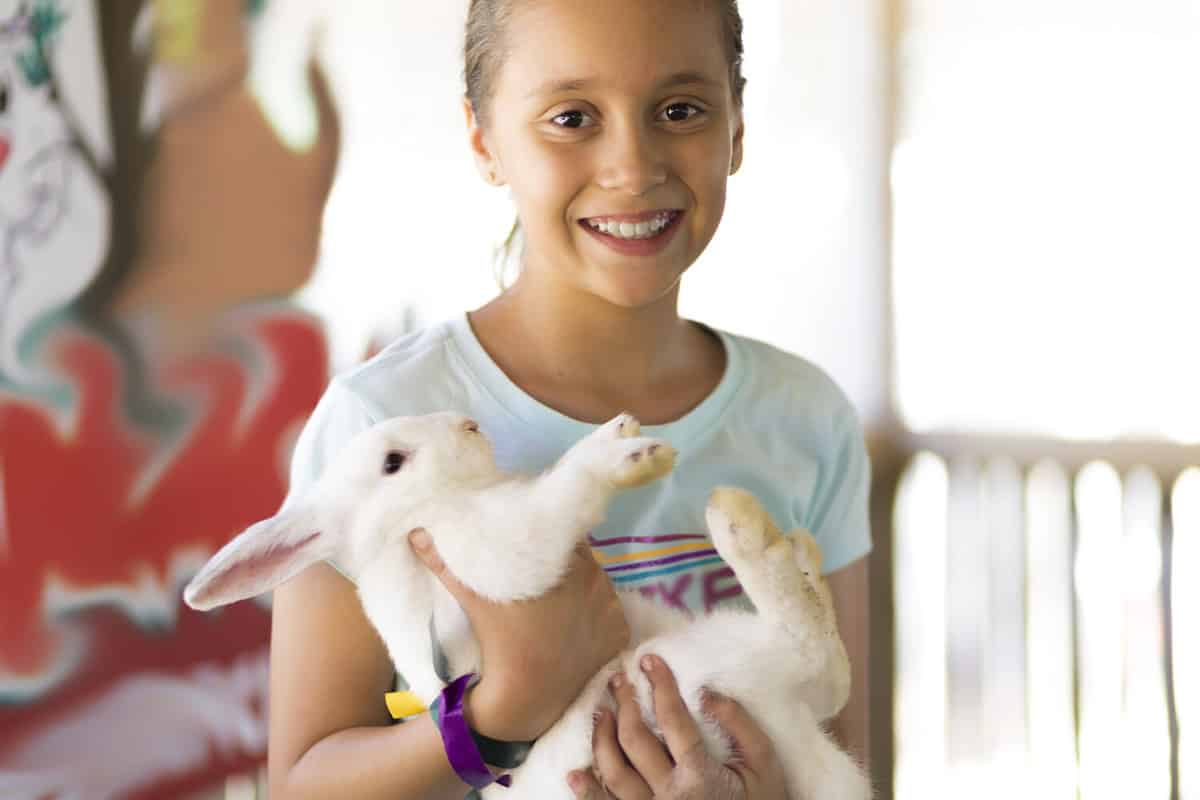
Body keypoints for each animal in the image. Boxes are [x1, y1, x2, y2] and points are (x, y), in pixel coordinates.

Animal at [182, 410, 868, 796]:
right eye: (393, 462)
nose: (467, 423)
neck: (411, 521)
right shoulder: (487, 550)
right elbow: (553, 506)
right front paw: (621, 451)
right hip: (691, 673)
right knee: (808, 652)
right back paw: (741, 522)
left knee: (828, 667)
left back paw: (798, 550)